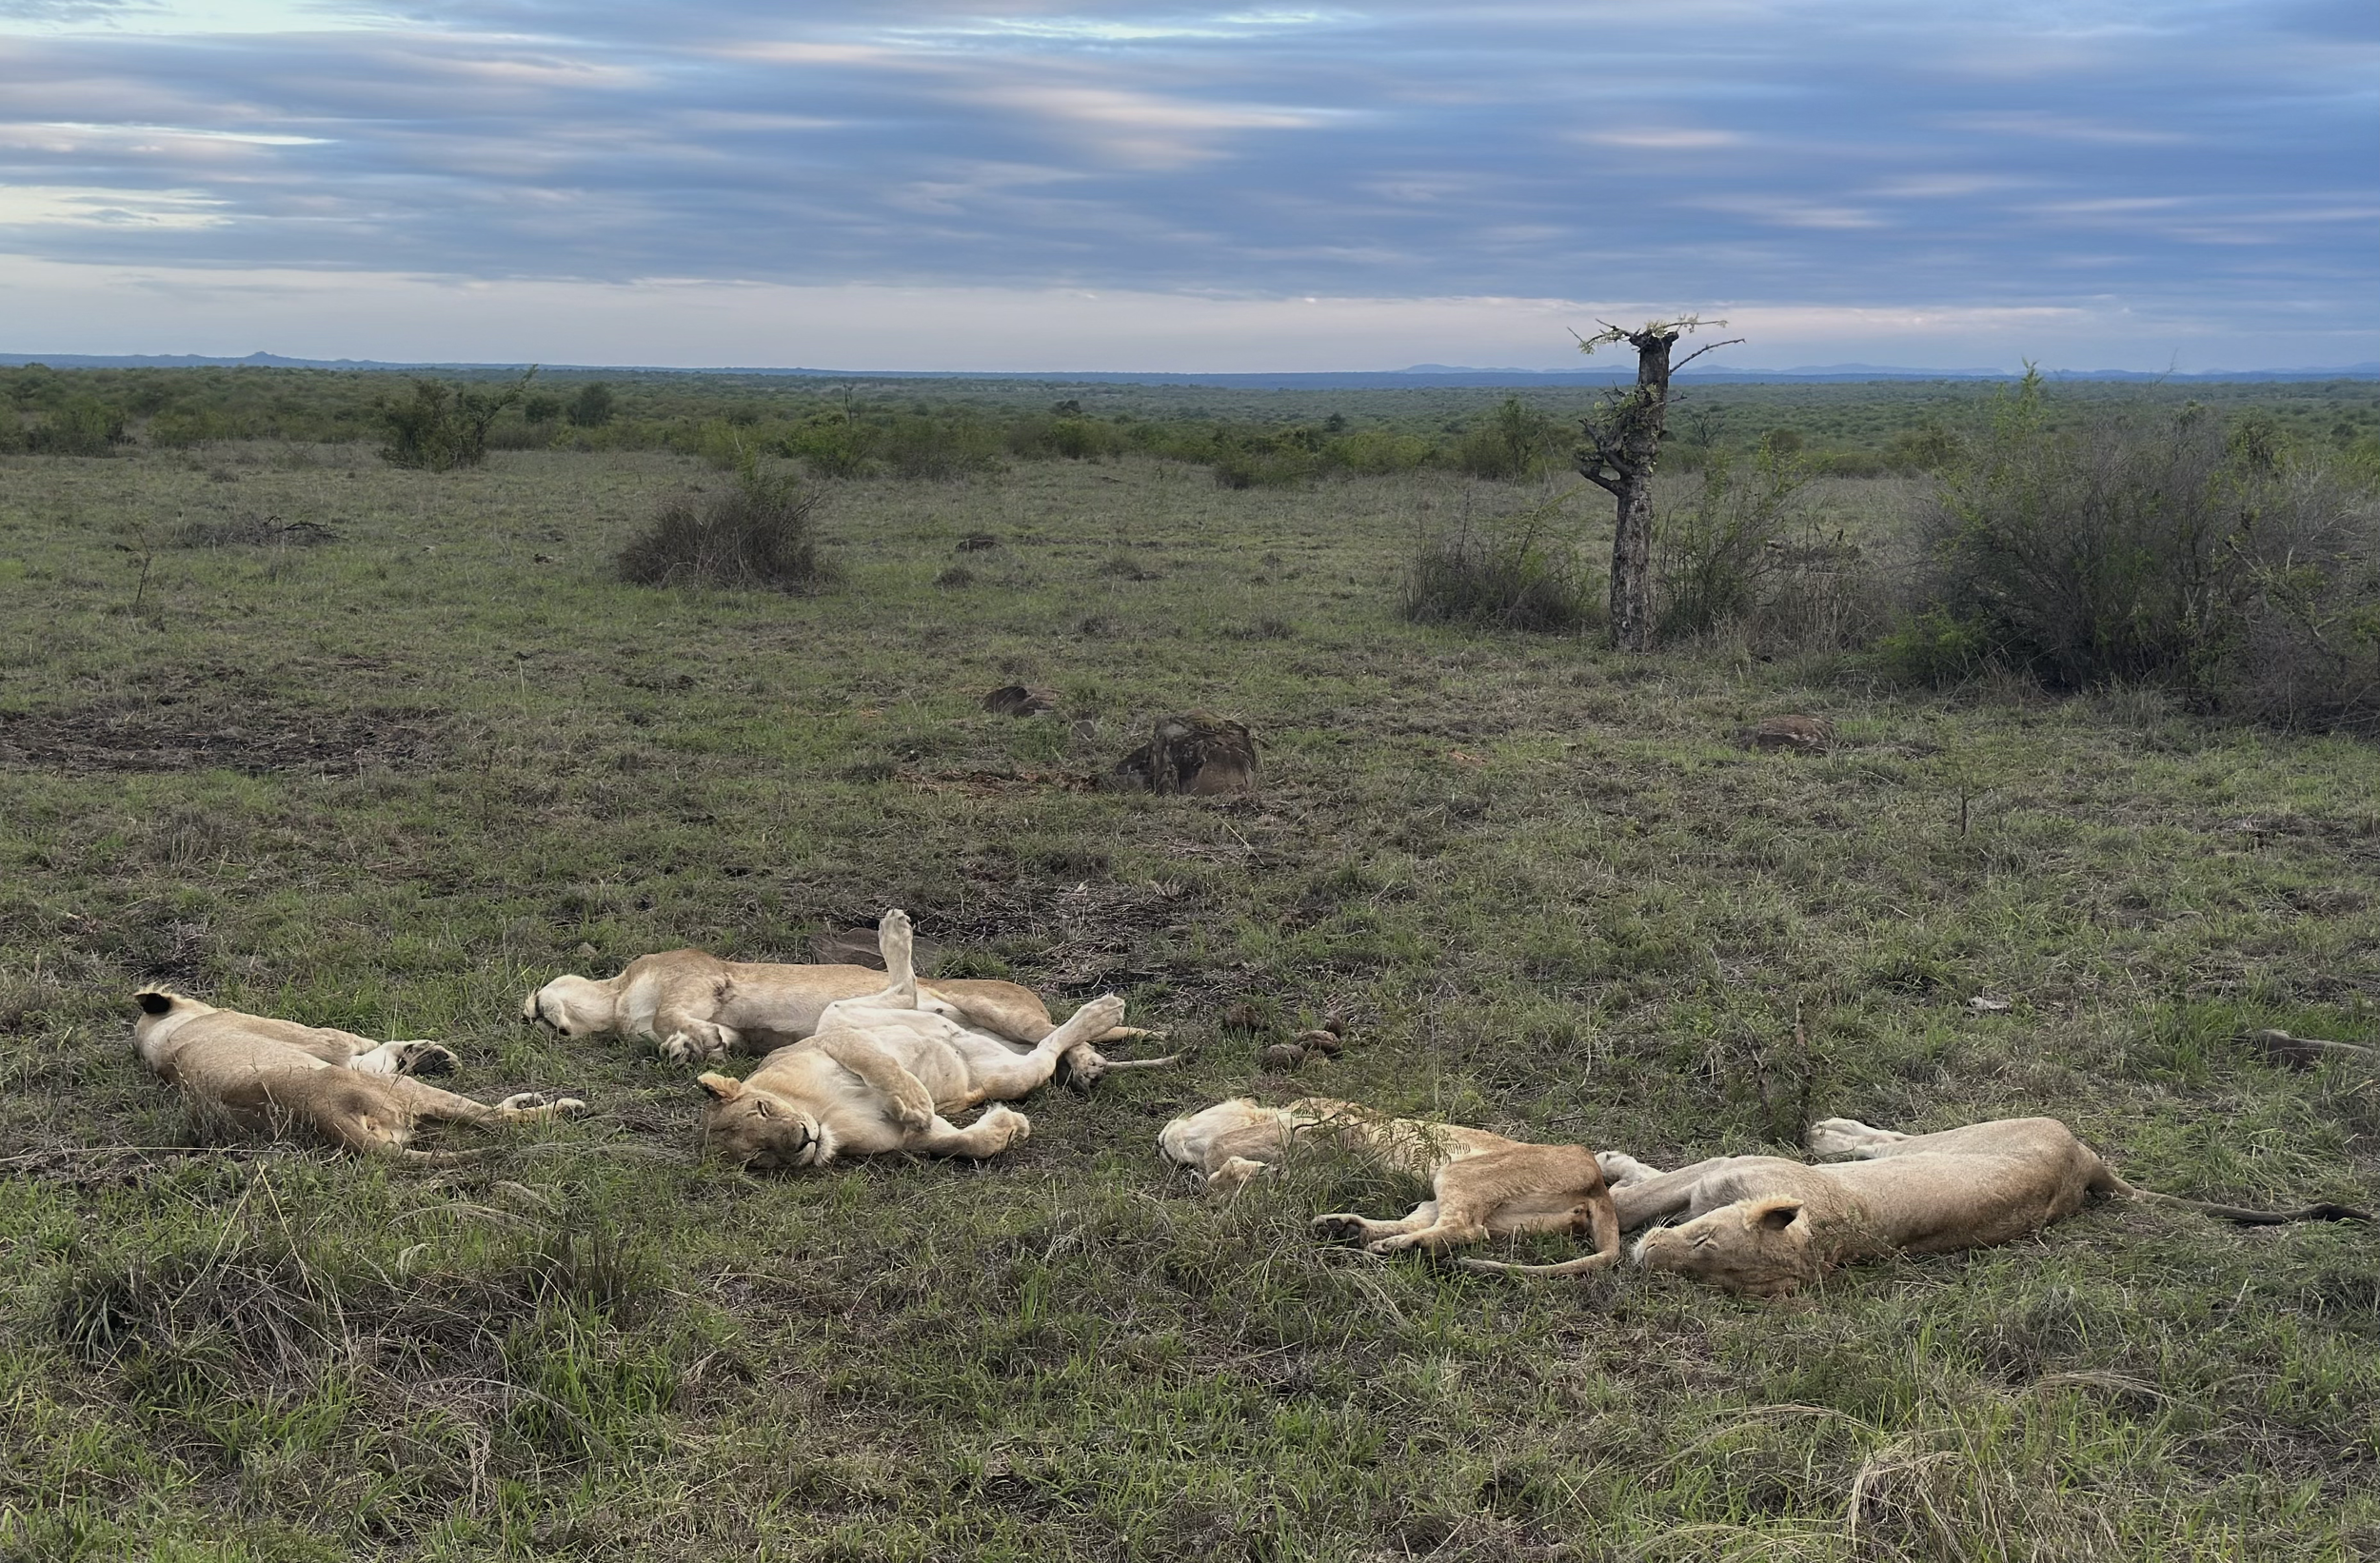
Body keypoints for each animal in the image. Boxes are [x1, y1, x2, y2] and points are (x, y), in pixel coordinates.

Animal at [134, 988, 583, 1162]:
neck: (163, 1042)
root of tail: (322, 1116)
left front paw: (429, 1055)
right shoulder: (331, 1043)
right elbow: (372, 1046)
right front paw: (430, 1054)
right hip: (406, 1092)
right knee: (497, 1120)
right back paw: (562, 1108)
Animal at [696, 909, 1129, 1170]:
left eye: (763, 1109)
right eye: (760, 1155)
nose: (804, 1139)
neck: (821, 1111)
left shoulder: (831, 1041)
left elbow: (876, 1064)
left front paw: (913, 1101)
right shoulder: (908, 1139)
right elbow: (961, 1143)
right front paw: (1008, 1127)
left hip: (835, 1016)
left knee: (903, 991)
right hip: (1010, 1074)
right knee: (1045, 1051)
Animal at [1158, 1096, 1622, 1269]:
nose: (1161, 1136)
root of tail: (1599, 1185)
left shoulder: (1332, 1124)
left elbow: (1219, 1145)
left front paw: (1231, 1173)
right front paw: (1254, 1176)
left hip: (1460, 1171)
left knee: (1466, 1230)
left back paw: (1391, 1244)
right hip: (1485, 1204)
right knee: (1434, 1221)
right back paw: (1348, 1229)